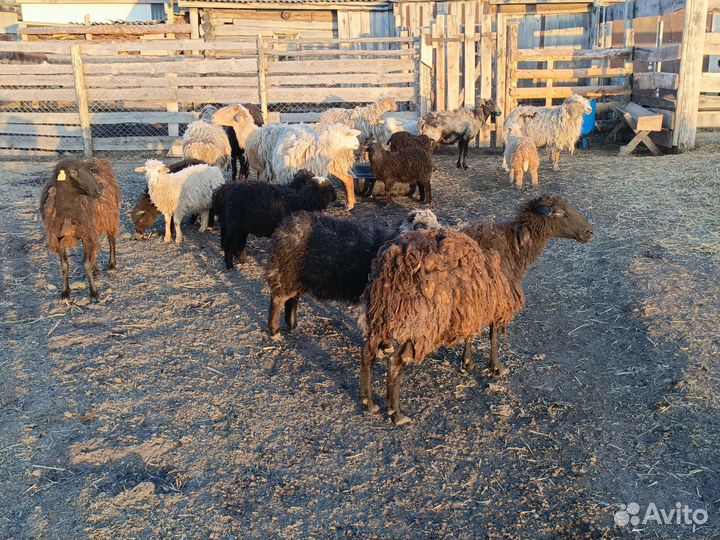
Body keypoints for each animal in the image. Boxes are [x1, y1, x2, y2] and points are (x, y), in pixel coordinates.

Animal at [40, 158, 120, 299]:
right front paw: (65, 292)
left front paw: (94, 292)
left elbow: (86, 264)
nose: (98, 190)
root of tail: (97, 162)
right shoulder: (59, 238)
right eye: (73, 172)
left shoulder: (86, 235)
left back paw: (112, 263)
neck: (68, 212)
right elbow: (64, 266)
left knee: (111, 239)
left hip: (109, 216)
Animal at [213, 104, 362, 210]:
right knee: (348, 179)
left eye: (228, 111)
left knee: (346, 179)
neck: (251, 134)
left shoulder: (267, 166)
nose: (213, 118)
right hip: (331, 163)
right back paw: (350, 205)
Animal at [266, 208, 440, 339]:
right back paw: (274, 331)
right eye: (419, 225)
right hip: (285, 274)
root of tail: (285, 224)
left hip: (296, 277)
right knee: (278, 300)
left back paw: (292, 324)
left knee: (292, 299)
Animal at [359, 195, 594, 424]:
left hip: (383, 314)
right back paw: (396, 414)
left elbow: (470, 333)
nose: (590, 232)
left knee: (368, 352)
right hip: (421, 322)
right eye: (559, 212)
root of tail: (394, 262)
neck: (514, 247)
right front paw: (497, 367)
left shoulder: (472, 303)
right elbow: (493, 335)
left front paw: (467, 362)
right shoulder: (497, 301)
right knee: (395, 362)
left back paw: (368, 402)